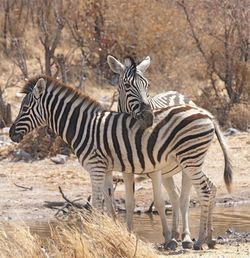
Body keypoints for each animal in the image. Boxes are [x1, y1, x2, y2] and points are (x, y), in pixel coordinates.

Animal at [9, 75, 232, 249]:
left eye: (25, 108)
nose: (10, 134)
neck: (83, 127)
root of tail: (207, 115)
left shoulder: (95, 167)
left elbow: (96, 203)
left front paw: (93, 233)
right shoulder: (106, 169)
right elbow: (110, 202)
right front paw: (113, 231)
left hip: (190, 158)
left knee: (204, 191)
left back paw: (199, 240)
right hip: (193, 160)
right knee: (211, 187)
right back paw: (209, 238)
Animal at [107, 55, 232, 249]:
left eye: (147, 85)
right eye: (127, 85)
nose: (148, 117)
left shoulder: (155, 169)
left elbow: (159, 202)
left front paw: (168, 238)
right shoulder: (126, 170)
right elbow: (130, 202)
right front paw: (128, 234)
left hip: (186, 162)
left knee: (185, 198)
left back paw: (187, 238)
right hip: (172, 169)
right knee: (180, 194)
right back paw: (192, 235)